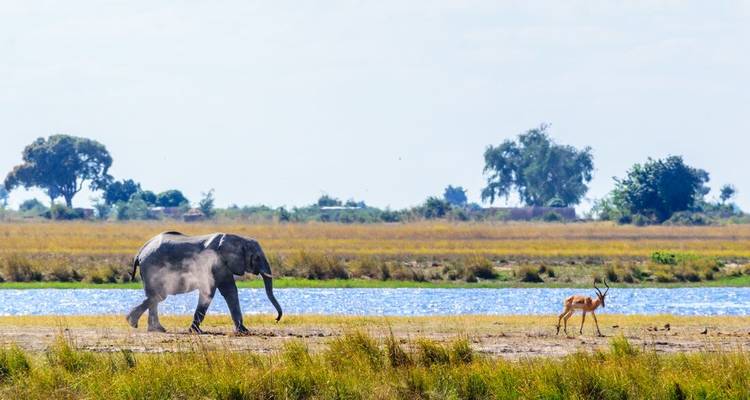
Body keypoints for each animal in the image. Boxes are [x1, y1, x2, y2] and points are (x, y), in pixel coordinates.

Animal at [126, 231, 282, 334]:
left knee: (156, 297)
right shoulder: (214, 263)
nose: (276, 319)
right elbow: (210, 291)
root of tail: (140, 251)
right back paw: (133, 322)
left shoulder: (223, 265)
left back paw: (155, 329)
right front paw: (195, 331)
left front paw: (243, 331)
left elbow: (230, 291)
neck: (237, 238)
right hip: (151, 267)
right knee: (158, 295)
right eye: (257, 258)